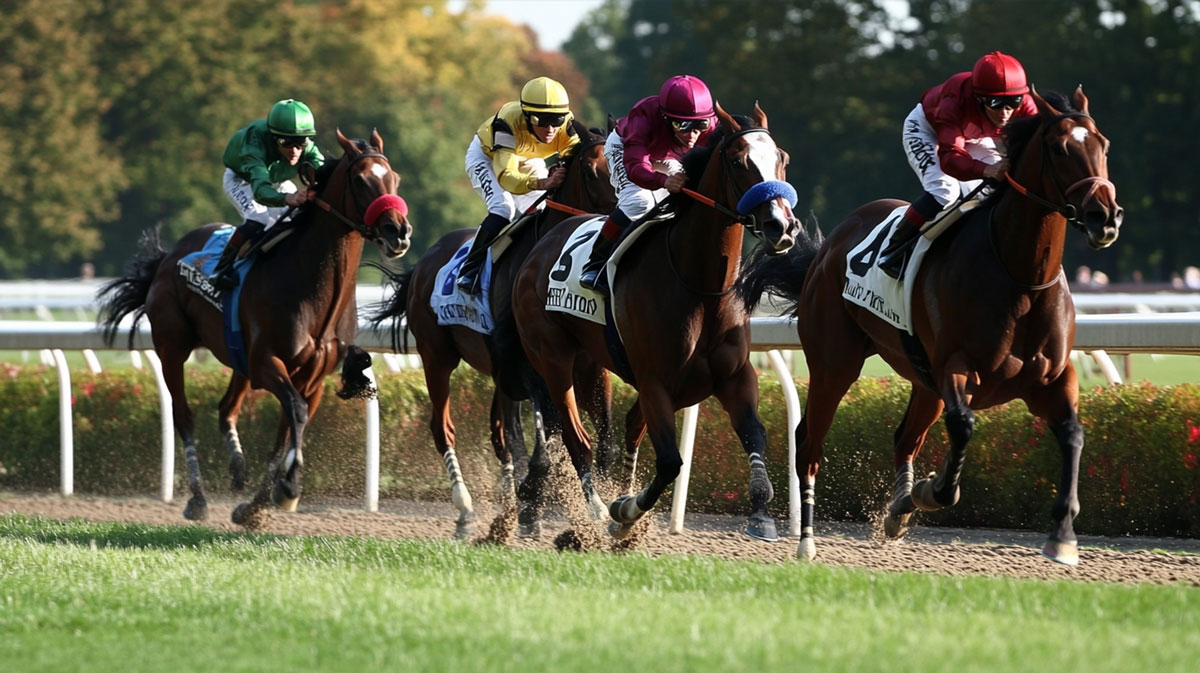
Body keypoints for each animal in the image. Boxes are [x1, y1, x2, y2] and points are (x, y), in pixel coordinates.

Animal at [96, 130, 412, 525]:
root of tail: (168, 257)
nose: (398, 232)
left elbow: (289, 427)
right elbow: (294, 412)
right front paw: (288, 489)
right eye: (360, 179)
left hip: (238, 358)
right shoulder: (267, 363)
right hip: (172, 348)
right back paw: (197, 498)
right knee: (184, 416)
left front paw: (256, 505)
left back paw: (237, 467)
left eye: (394, 178)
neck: (312, 289)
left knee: (226, 408)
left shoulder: (314, 376)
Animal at [369, 120, 624, 537]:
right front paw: (535, 503)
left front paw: (535, 505)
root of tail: (424, 263)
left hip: (493, 370)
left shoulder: (586, 366)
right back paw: (465, 510)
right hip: (436, 356)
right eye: (590, 169)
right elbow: (548, 436)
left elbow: (594, 441)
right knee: (444, 427)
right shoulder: (531, 367)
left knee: (501, 434)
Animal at [511, 102, 801, 537]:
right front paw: (624, 512)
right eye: (738, 161)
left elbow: (754, 434)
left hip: (593, 363)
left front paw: (762, 512)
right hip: (553, 358)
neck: (700, 286)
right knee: (577, 438)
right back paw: (596, 508)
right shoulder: (654, 383)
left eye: (781, 158)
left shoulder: (732, 376)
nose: (781, 226)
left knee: (621, 430)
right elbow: (669, 462)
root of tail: (539, 247)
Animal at [739, 88, 1123, 561]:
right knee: (809, 441)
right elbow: (962, 429)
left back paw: (896, 509)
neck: (1020, 275)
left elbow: (1073, 434)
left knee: (904, 438)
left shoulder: (1052, 377)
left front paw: (1063, 536)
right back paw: (807, 541)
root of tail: (826, 249)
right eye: (1059, 148)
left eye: (1103, 145)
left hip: (921, 379)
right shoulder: (955, 368)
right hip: (835, 365)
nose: (1105, 216)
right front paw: (930, 490)